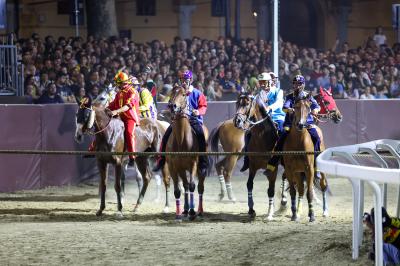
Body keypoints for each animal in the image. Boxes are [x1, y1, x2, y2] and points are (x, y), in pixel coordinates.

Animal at [166, 86, 211, 221]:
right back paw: (185, 210)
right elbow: (178, 190)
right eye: (171, 93)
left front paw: (192, 212)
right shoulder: (173, 166)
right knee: (185, 186)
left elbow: (192, 186)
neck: (181, 140)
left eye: (183, 94)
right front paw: (178, 214)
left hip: (201, 168)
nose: (172, 106)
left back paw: (199, 211)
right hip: (181, 169)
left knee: (200, 187)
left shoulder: (193, 164)